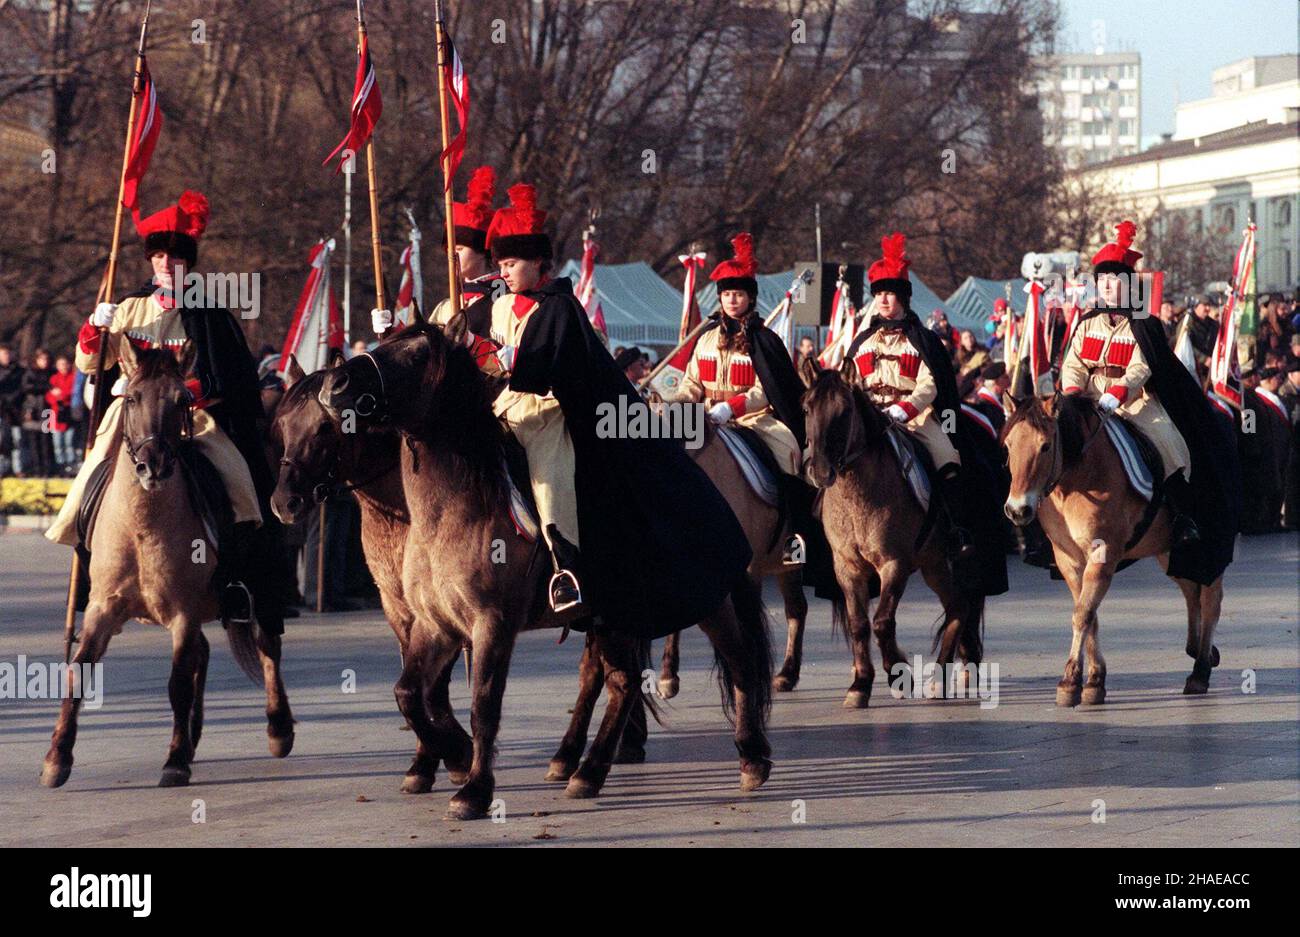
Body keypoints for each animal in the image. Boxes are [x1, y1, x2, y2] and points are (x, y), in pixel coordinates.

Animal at [43, 343, 295, 790]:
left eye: (182, 400)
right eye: (131, 398)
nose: (153, 465)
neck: (142, 527)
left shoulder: (183, 612)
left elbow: (178, 682)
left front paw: (175, 762)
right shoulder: (103, 608)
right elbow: (79, 671)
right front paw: (57, 758)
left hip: (259, 581)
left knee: (267, 645)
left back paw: (277, 728)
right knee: (205, 653)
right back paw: (194, 736)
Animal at [267, 353, 473, 795]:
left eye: (325, 427)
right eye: (283, 426)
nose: (284, 503)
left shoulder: (443, 608)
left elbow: (429, 687)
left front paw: (455, 752)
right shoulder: (399, 608)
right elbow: (420, 684)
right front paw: (430, 759)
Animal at [319, 322, 774, 821]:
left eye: (416, 354)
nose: (335, 384)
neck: (456, 509)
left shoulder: (492, 625)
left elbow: (483, 706)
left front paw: (473, 788)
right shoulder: (434, 625)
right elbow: (408, 694)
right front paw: (453, 758)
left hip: (707, 601)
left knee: (739, 661)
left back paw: (751, 758)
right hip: (612, 618)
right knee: (621, 681)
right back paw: (585, 770)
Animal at [795, 369, 977, 706]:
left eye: (845, 411)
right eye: (806, 408)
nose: (821, 471)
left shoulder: (894, 564)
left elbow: (881, 621)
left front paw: (897, 673)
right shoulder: (847, 567)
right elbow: (858, 623)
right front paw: (860, 684)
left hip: (938, 561)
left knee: (959, 605)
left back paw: (940, 678)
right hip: (933, 565)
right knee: (958, 605)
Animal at [998, 389, 1222, 696]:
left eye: (1045, 446)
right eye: (1008, 446)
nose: (1017, 510)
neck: (1077, 480)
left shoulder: (1102, 553)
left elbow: (1083, 613)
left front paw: (1071, 680)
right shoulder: (1069, 561)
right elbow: (1089, 613)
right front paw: (1094, 677)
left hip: (1209, 543)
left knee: (1210, 597)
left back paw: (1200, 670)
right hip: (1167, 549)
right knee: (1191, 589)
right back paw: (1199, 649)